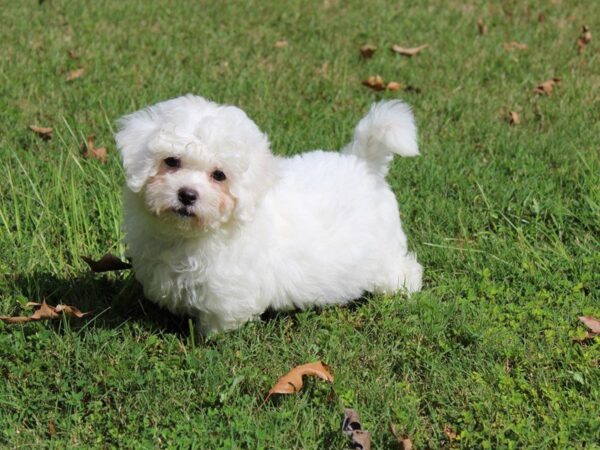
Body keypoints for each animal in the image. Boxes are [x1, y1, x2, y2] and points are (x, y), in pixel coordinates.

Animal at [116, 95, 422, 334]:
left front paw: (204, 338)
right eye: (171, 161)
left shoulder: (227, 289)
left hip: (382, 251)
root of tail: (363, 164)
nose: (187, 195)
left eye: (219, 175)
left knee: (402, 270)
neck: (186, 235)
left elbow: (217, 321)